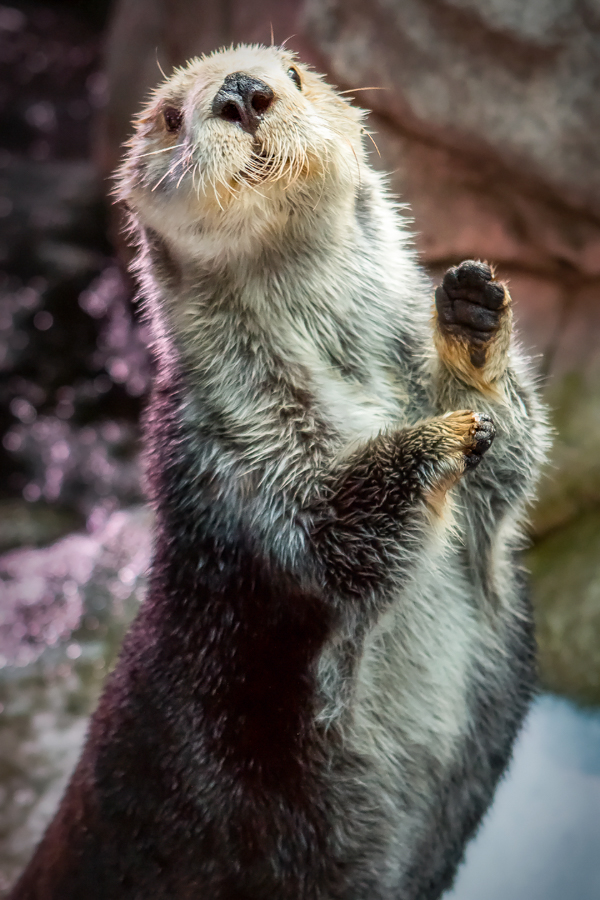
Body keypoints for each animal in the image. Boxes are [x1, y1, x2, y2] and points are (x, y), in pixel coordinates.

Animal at [10, 45, 548, 900]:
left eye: (292, 72)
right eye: (169, 116)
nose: (241, 91)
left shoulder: (488, 511)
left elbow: (512, 464)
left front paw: (471, 318)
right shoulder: (222, 456)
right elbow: (333, 538)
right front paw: (437, 437)